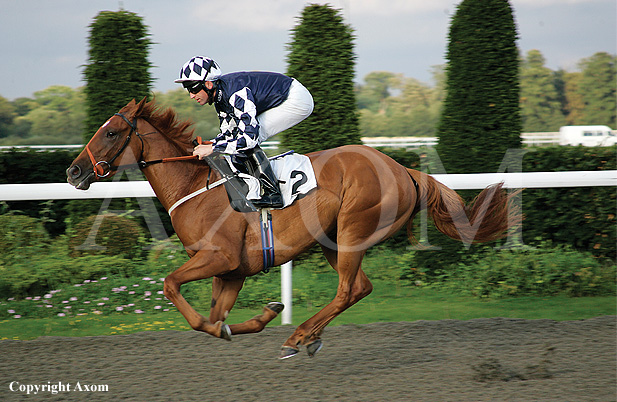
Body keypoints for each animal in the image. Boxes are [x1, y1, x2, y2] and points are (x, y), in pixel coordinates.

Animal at [67, 98, 520, 358]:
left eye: (111, 132)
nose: (73, 172)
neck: (195, 187)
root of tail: (403, 168)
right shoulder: (232, 271)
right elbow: (217, 316)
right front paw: (262, 314)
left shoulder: (219, 257)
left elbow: (175, 290)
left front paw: (247, 323)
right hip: (331, 238)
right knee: (359, 288)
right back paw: (307, 335)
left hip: (352, 229)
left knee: (347, 289)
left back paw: (299, 336)